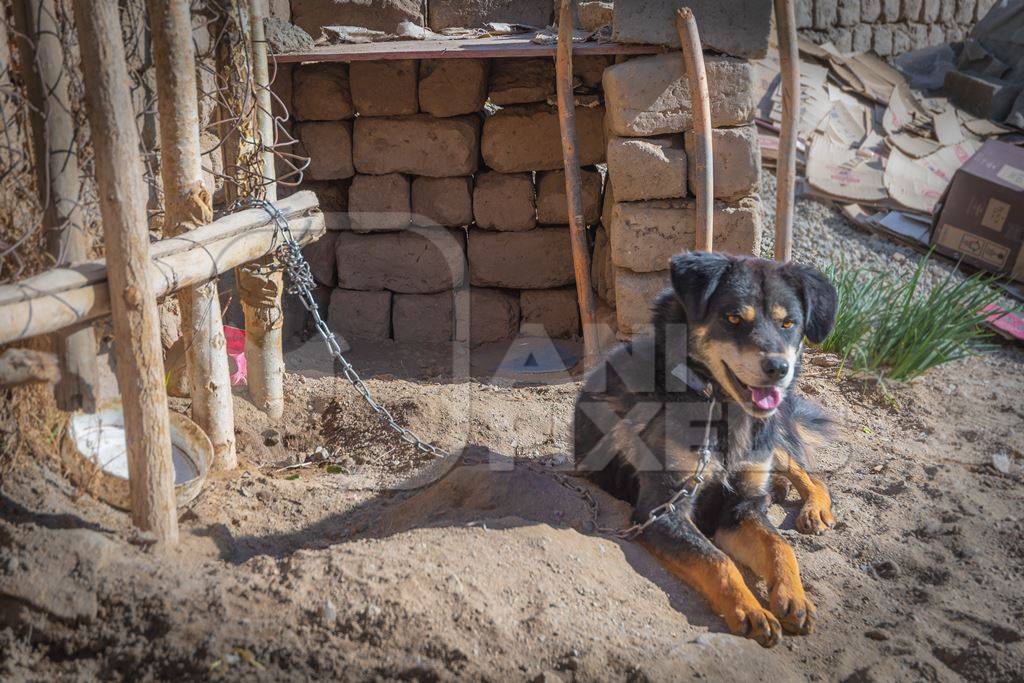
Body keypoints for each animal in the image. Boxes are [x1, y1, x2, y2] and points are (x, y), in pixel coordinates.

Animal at [573, 253, 835, 651]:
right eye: (733, 318)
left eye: (789, 323)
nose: (779, 369)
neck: (718, 407)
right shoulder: (662, 509)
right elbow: (717, 560)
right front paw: (751, 609)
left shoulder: (740, 506)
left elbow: (779, 545)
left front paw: (793, 595)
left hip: (773, 434)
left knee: (807, 471)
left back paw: (814, 508)